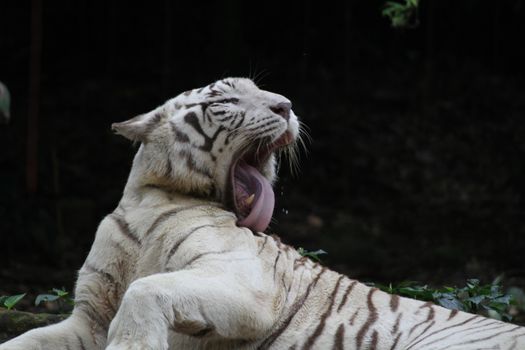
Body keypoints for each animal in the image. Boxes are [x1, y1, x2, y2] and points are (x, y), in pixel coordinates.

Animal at [1, 78, 524, 348]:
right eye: (227, 99)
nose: (287, 105)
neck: (153, 197)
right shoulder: (88, 319)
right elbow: (26, 342)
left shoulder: (245, 283)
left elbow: (147, 290)